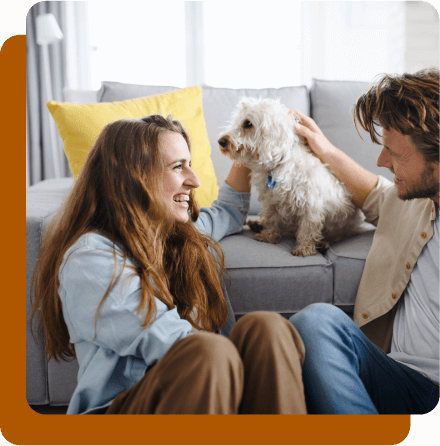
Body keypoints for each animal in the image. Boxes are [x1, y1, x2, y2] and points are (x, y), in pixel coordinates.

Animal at [217, 97, 364, 258]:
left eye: (247, 123)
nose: (221, 141)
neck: (279, 164)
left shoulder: (311, 205)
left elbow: (307, 228)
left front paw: (303, 248)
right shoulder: (271, 200)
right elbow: (271, 218)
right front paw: (268, 235)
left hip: (341, 226)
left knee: (338, 235)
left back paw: (323, 243)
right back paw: (256, 224)